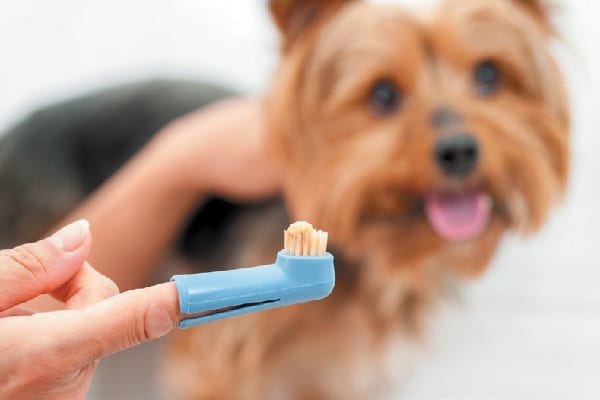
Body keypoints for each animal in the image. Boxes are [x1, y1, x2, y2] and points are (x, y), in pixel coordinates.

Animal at [0, 0, 568, 398]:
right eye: (382, 95)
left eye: (489, 76)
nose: (459, 150)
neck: (373, 259)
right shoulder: (220, 362)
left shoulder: (331, 374)